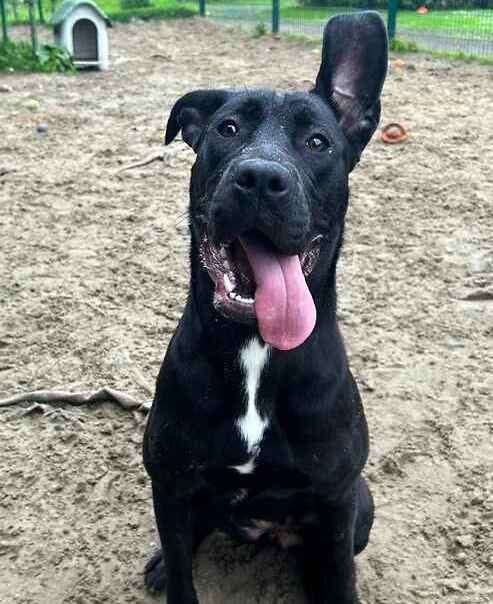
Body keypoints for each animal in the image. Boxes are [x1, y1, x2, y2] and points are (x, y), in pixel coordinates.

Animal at [144, 14, 386, 604]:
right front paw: (170, 569)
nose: (259, 177)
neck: (255, 344)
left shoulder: (338, 496)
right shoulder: (169, 481)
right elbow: (183, 573)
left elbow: (340, 575)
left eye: (318, 142)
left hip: (361, 504)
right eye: (226, 130)